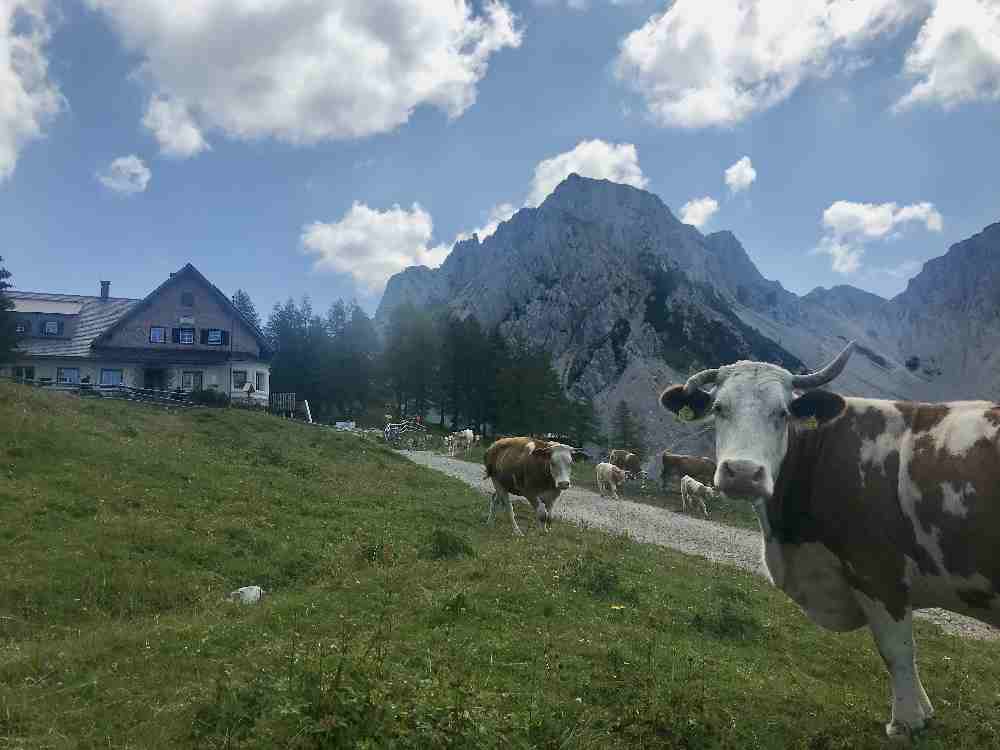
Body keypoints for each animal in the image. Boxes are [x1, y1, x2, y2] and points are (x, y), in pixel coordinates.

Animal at [664, 344, 1000, 744]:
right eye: (719, 407)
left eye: (783, 413)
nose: (743, 473)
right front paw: (923, 711)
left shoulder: (877, 573)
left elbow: (896, 650)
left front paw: (905, 721)